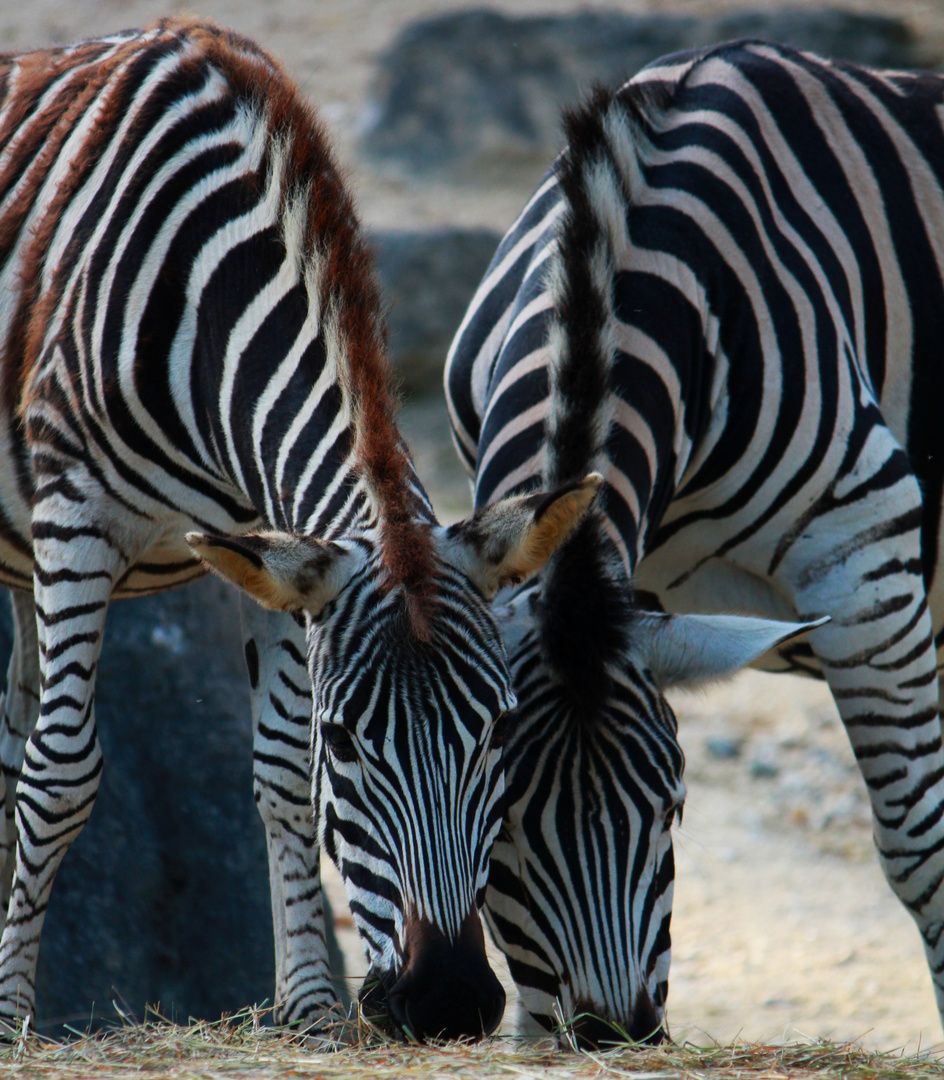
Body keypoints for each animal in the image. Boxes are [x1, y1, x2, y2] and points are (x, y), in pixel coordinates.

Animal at [0, 21, 604, 1041]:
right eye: (351, 743)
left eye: (496, 731)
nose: (449, 1000)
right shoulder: (76, 515)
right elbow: (62, 775)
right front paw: (10, 1017)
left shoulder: (275, 555)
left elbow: (279, 772)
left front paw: (311, 1007)